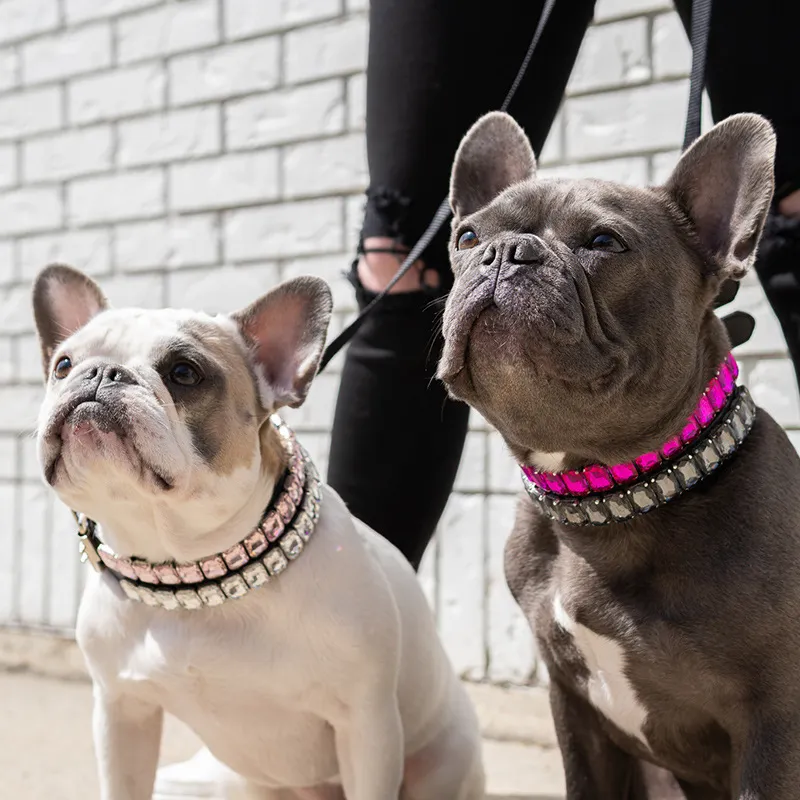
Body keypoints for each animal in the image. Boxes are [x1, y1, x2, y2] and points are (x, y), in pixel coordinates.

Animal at [31, 266, 484, 800]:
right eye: (63, 365)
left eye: (184, 373)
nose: (102, 372)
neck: (189, 571)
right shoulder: (123, 712)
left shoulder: (366, 728)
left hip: (442, 760)